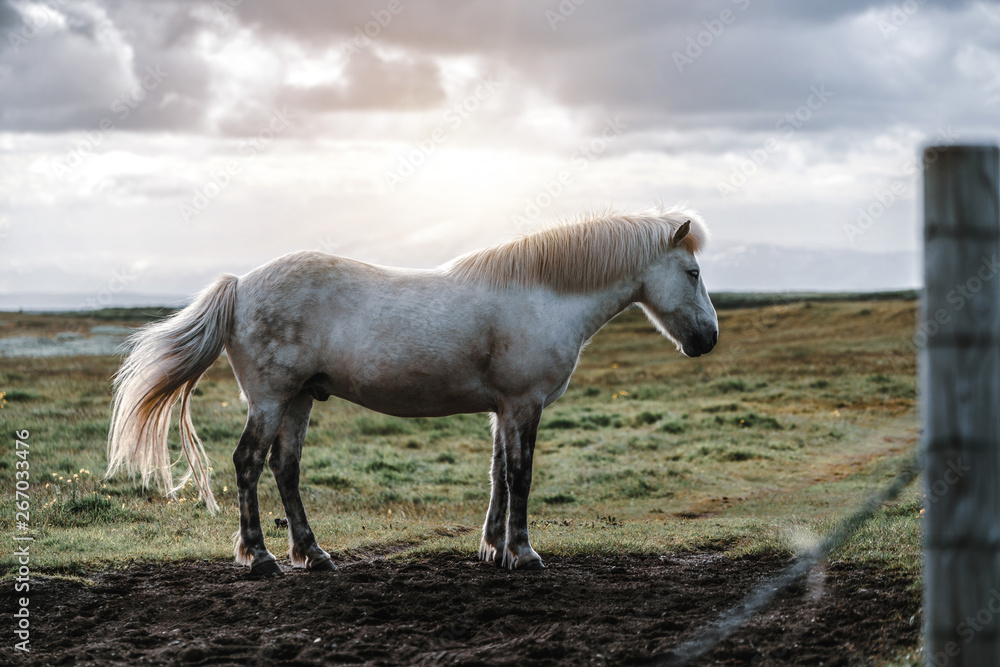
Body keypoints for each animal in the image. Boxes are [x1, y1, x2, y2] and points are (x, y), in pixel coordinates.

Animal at [107, 206, 720, 576]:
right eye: (691, 273)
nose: (708, 338)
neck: (542, 294)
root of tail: (240, 285)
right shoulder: (523, 406)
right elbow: (520, 475)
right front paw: (522, 552)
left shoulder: (503, 410)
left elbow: (498, 474)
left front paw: (492, 547)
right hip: (271, 399)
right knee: (248, 462)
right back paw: (259, 557)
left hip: (299, 400)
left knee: (285, 468)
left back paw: (312, 553)